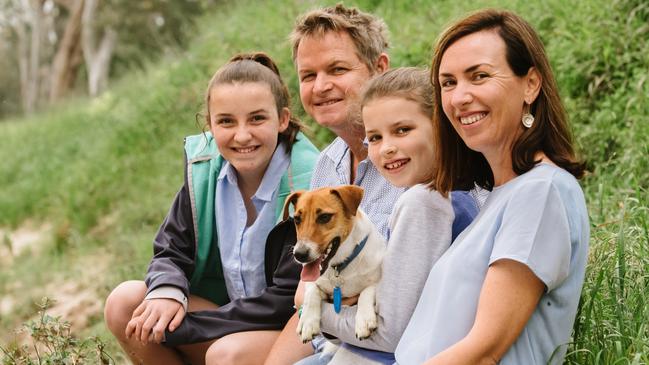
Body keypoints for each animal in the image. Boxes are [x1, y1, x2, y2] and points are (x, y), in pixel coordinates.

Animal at [282, 185, 384, 342]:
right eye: (297, 219)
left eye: (324, 217)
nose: (299, 254)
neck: (340, 265)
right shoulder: (312, 282)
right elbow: (311, 293)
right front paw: (307, 321)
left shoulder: (379, 278)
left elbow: (366, 291)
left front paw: (364, 320)